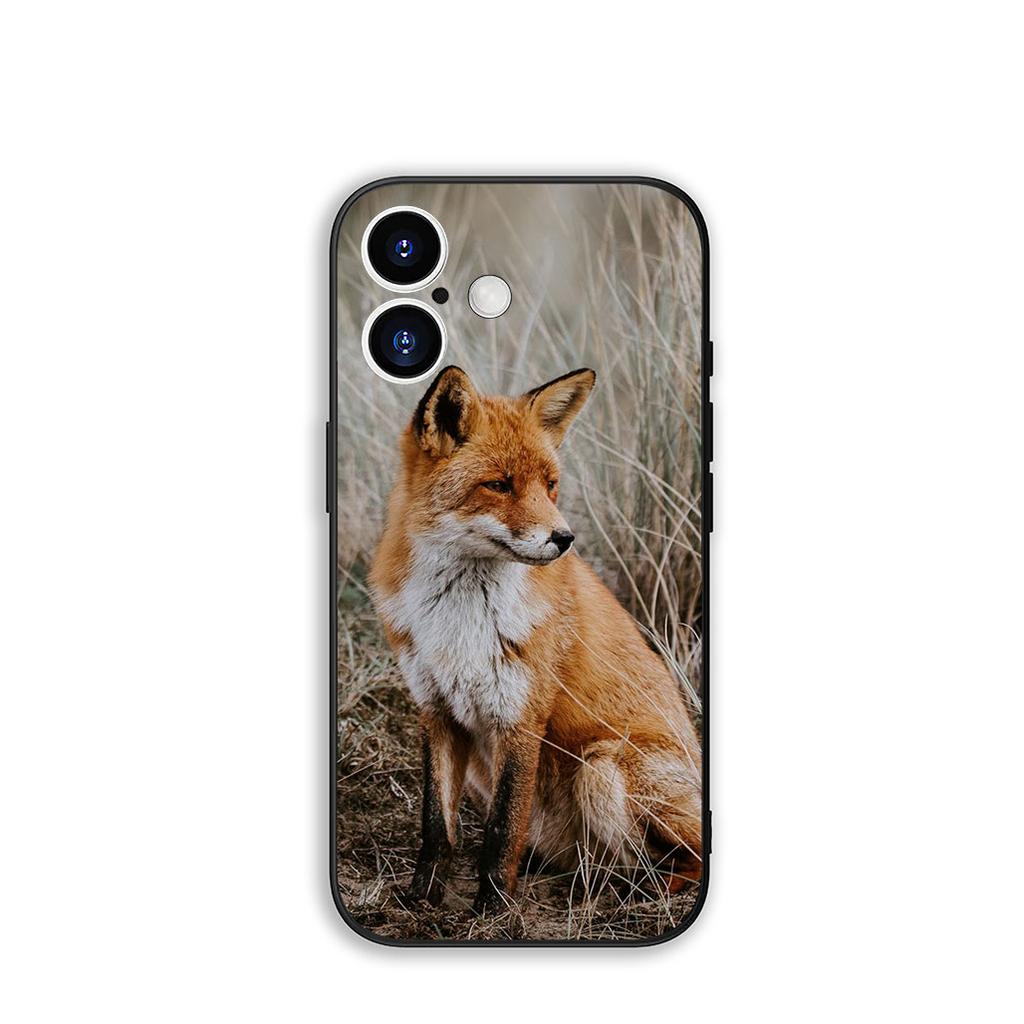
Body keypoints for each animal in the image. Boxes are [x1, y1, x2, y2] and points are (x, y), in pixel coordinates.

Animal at [369, 365, 702, 914]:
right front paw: (421, 900)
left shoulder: (521, 716)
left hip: (602, 768)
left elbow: (502, 829)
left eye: (550, 485)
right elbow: (437, 827)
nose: (564, 539)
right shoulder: (436, 712)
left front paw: (493, 913)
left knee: (688, 858)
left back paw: (640, 890)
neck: (459, 621)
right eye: (498, 485)